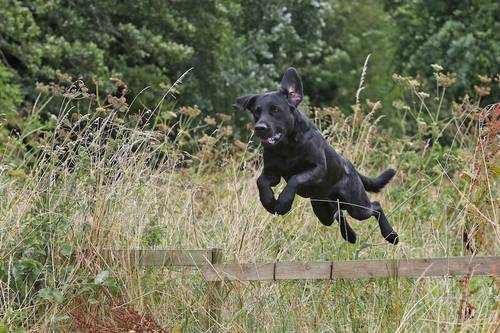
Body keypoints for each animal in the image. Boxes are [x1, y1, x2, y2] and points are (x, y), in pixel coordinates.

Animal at [233, 67, 398, 244]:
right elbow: (261, 181)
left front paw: (283, 204)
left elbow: (295, 178)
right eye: (256, 112)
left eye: (276, 110)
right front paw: (269, 202)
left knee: (375, 207)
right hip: (323, 211)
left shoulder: (317, 169)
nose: (259, 128)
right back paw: (351, 236)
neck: (286, 147)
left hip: (357, 205)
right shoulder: (272, 172)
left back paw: (391, 235)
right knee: (338, 214)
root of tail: (350, 165)